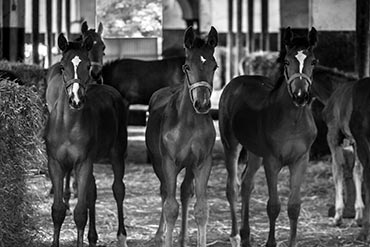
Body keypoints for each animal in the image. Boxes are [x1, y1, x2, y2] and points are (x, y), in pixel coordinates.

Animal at [44, 33, 129, 247]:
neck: (67, 124)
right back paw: (92, 237)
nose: (76, 100)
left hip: (117, 153)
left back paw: (121, 236)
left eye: (87, 65)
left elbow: (80, 212)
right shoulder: (55, 163)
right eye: (62, 67)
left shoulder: (83, 162)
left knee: (118, 189)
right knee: (93, 191)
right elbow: (58, 210)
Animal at [145, 26, 218, 246]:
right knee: (164, 192)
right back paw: (159, 235)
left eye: (215, 66)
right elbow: (170, 207)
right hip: (158, 162)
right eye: (187, 67)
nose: (202, 104)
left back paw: (183, 237)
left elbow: (201, 209)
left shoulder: (203, 162)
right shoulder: (169, 162)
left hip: (189, 165)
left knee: (185, 192)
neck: (189, 122)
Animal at [220, 27, 318, 247]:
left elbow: (294, 206)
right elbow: (273, 205)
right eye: (287, 62)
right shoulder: (272, 161)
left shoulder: (301, 160)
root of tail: (236, 81)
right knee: (232, 187)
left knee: (246, 184)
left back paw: (245, 234)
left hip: (255, 152)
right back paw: (235, 235)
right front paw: (270, 242)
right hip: (231, 144)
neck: (294, 121)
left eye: (313, 61)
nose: (300, 96)